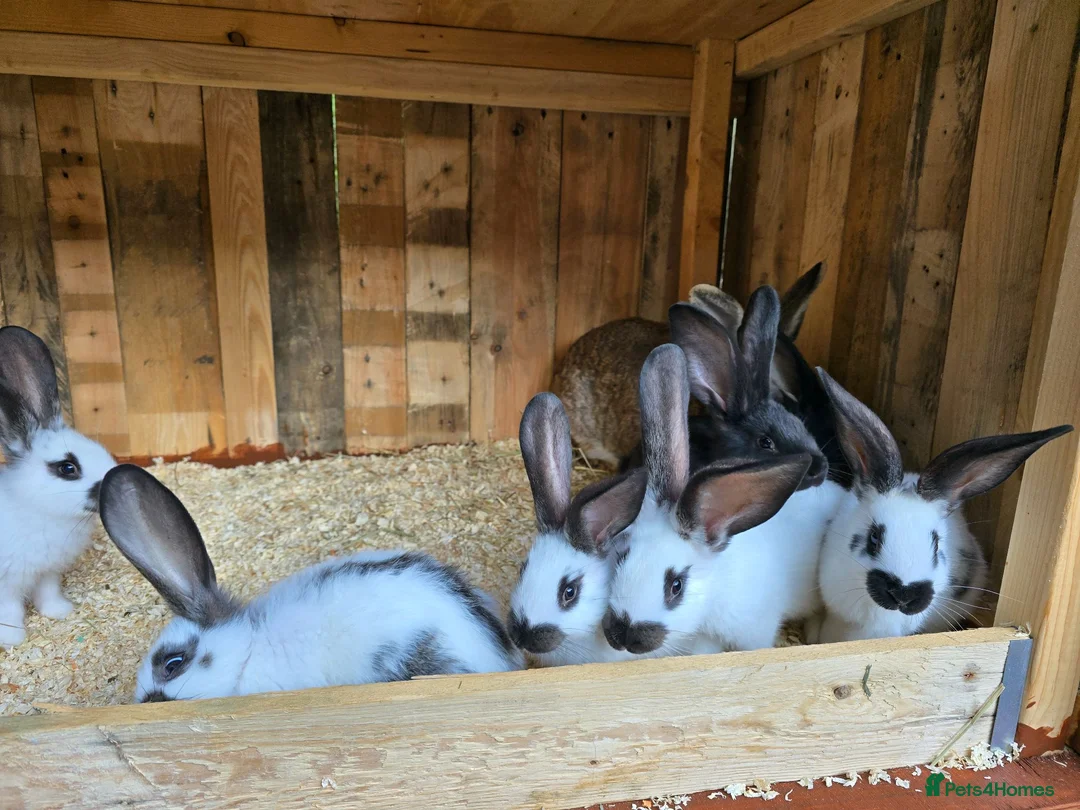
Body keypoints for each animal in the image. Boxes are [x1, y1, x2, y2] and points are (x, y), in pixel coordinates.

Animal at [0, 326, 116, 647]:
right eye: (67, 468)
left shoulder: (47, 573)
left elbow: (48, 594)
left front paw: (61, 612)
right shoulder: (6, 583)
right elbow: (9, 610)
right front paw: (12, 639)